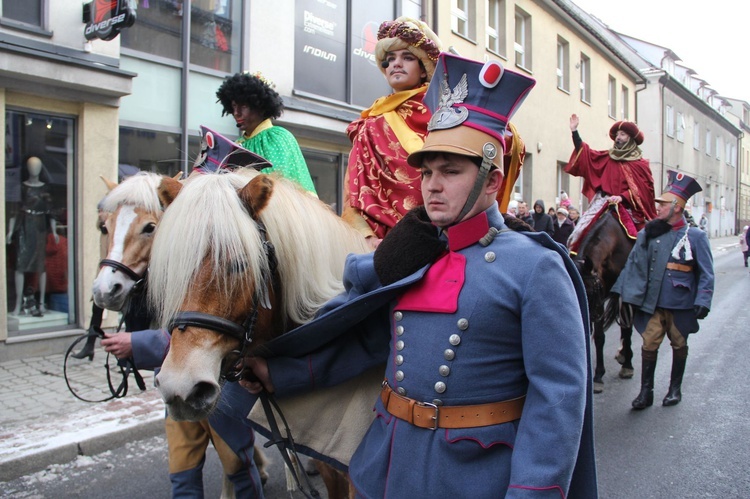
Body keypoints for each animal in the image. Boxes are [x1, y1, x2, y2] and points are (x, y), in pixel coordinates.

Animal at [572, 203, 636, 394]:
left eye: (590, 293)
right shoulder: (600, 302)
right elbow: (599, 337)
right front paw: (598, 375)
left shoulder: (619, 296)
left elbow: (627, 329)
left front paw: (627, 366)